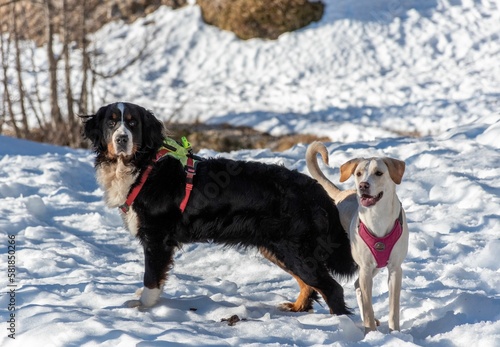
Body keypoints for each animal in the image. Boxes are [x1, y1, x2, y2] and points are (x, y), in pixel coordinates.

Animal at [82, 102, 356, 316]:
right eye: (111, 123)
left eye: (132, 123)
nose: (121, 139)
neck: (143, 167)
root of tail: (314, 189)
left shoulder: (157, 238)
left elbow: (151, 278)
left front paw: (144, 306)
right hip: (278, 248)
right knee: (309, 285)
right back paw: (298, 307)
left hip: (292, 248)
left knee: (331, 288)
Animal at [306, 141, 408, 334]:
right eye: (359, 173)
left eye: (379, 173)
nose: (363, 185)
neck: (377, 217)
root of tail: (342, 194)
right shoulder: (366, 268)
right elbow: (368, 306)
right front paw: (371, 334)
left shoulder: (395, 269)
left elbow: (393, 307)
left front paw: (395, 333)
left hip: (374, 267)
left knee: (356, 285)